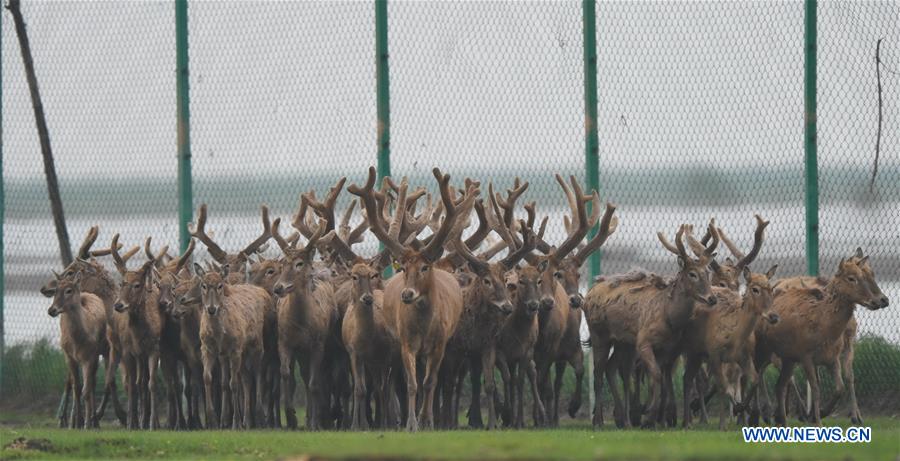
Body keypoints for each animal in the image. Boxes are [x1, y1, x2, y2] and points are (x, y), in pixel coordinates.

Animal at [47, 271, 107, 429]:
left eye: (69, 290)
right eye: (55, 290)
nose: (51, 310)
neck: (77, 342)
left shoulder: (90, 356)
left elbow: (86, 389)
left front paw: (86, 424)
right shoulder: (69, 356)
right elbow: (77, 388)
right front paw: (76, 424)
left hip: (101, 351)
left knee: (92, 384)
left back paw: (94, 422)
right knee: (75, 384)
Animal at [193, 262, 269, 429]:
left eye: (220, 285)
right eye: (203, 285)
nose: (211, 309)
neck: (218, 335)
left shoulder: (234, 349)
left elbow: (233, 384)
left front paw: (235, 423)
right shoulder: (207, 349)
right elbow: (208, 378)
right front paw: (213, 421)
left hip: (256, 344)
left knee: (258, 375)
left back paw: (259, 417)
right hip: (241, 352)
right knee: (246, 379)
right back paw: (247, 420)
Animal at [348, 166, 476, 431]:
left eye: (425, 267)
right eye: (405, 267)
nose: (407, 294)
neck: (425, 326)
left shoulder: (440, 344)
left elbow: (430, 382)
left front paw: (428, 421)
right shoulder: (406, 342)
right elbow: (411, 383)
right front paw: (411, 423)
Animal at [584, 224, 718, 429]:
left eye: (708, 273)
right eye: (692, 274)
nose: (712, 298)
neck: (668, 316)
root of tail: (589, 293)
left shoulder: (667, 348)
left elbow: (660, 379)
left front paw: (654, 419)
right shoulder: (643, 341)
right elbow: (654, 374)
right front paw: (649, 416)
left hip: (623, 342)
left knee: (611, 369)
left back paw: (624, 420)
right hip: (599, 333)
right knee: (598, 373)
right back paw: (598, 421)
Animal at [751, 250, 888, 426]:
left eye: (871, 274)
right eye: (852, 278)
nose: (881, 300)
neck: (826, 330)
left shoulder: (833, 357)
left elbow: (841, 386)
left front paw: (828, 413)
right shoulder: (806, 356)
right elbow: (816, 388)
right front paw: (816, 420)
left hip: (787, 359)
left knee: (779, 385)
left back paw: (781, 419)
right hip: (762, 350)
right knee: (756, 375)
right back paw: (756, 415)